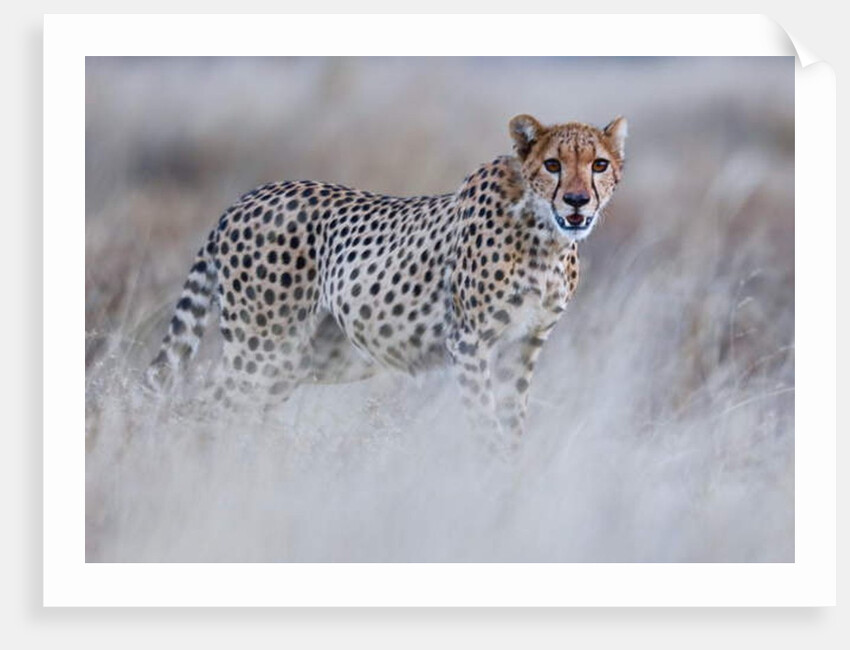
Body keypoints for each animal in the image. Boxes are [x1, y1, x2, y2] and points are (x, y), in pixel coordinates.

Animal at [145, 113, 628, 448]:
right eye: (553, 164)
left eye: (599, 164)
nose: (577, 200)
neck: (545, 236)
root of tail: (243, 199)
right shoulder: (469, 342)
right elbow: (485, 425)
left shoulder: (523, 345)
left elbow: (512, 426)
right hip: (261, 347)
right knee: (209, 407)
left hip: (301, 358)